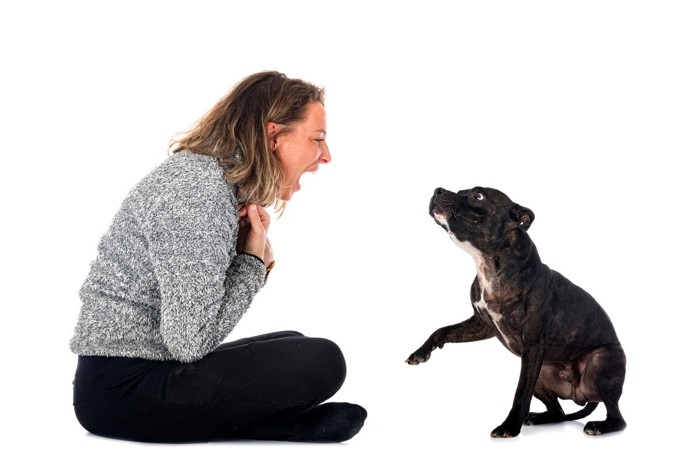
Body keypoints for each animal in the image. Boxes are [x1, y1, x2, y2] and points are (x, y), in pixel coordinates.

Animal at [408, 186, 628, 436]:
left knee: (617, 416)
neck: (489, 264)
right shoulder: (481, 325)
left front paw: (509, 427)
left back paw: (600, 426)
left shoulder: (532, 346)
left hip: (600, 362)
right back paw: (539, 418)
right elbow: (442, 330)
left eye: (478, 196)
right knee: (559, 412)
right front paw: (421, 352)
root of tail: (579, 395)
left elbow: (521, 393)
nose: (438, 190)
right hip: (542, 374)